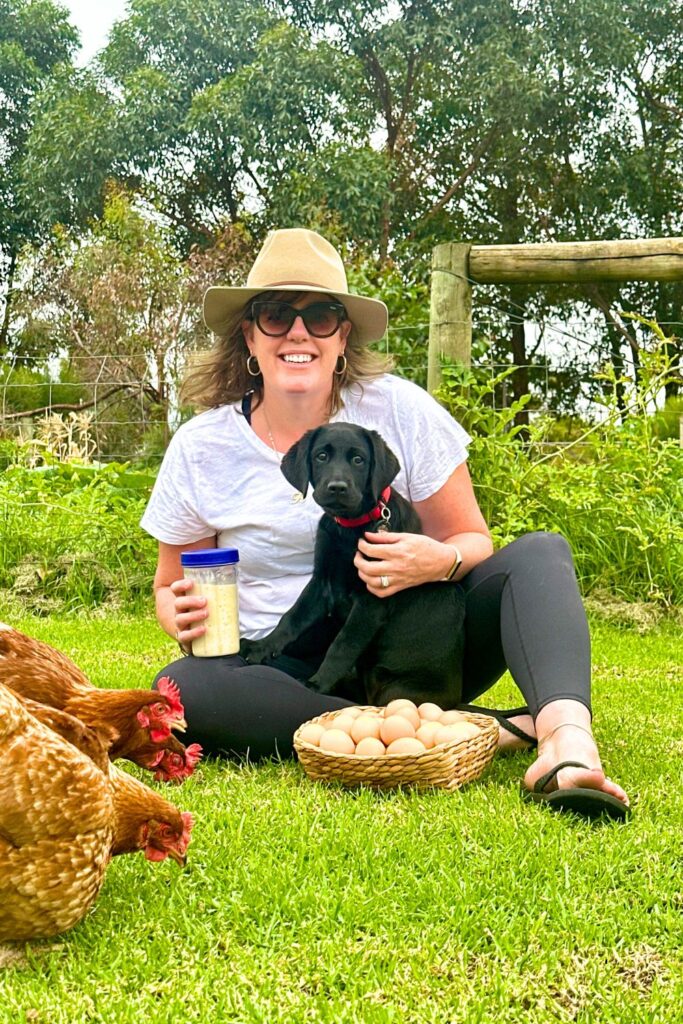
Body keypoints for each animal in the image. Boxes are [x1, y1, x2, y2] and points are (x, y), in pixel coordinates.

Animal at [240, 421, 464, 704]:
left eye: (359, 460)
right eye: (321, 456)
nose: (337, 487)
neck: (349, 527)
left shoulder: (371, 599)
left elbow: (343, 644)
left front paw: (316, 685)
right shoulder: (321, 583)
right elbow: (291, 618)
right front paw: (261, 647)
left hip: (398, 691)